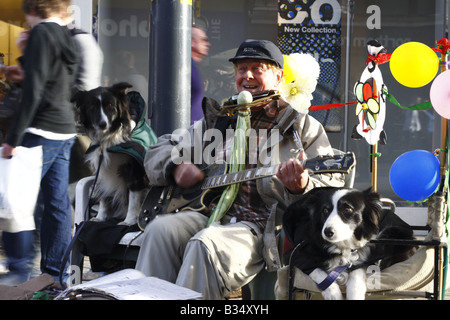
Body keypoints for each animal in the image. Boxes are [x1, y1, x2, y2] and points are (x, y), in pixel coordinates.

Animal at [72, 84, 149, 226]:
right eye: (92, 107)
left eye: (110, 106)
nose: (103, 124)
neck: (109, 139)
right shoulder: (101, 170)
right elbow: (104, 197)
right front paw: (100, 218)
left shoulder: (135, 172)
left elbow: (133, 199)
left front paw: (128, 221)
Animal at [284, 188, 416, 300]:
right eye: (325, 210)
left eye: (347, 210)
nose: (327, 232)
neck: (342, 246)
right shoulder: (295, 255)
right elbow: (318, 271)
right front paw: (333, 294)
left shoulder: (365, 259)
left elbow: (357, 272)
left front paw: (355, 294)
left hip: (395, 232)